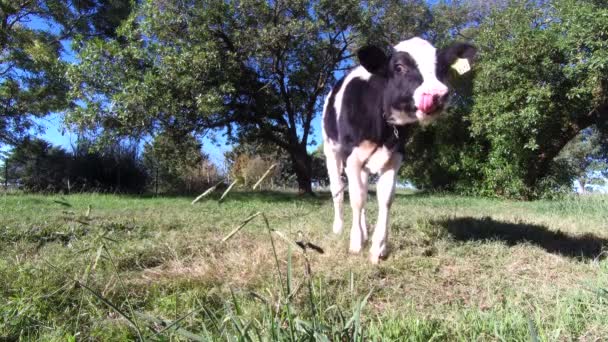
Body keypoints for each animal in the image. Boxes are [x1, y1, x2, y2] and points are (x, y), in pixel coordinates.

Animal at [324, 37, 476, 264]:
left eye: (441, 68)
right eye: (399, 67)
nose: (437, 94)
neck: (383, 125)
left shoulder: (395, 157)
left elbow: (385, 199)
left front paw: (377, 248)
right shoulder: (351, 156)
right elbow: (357, 198)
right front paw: (356, 243)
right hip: (331, 150)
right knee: (339, 190)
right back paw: (340, 228)